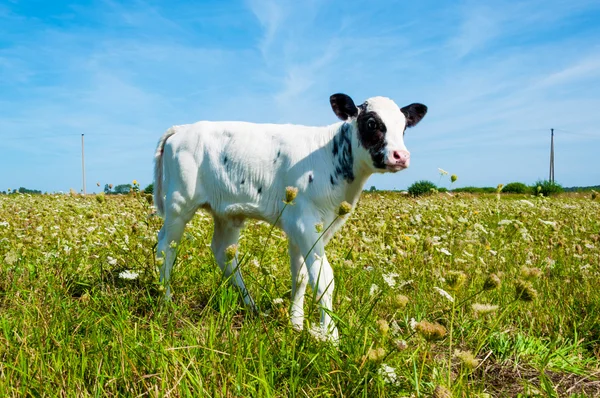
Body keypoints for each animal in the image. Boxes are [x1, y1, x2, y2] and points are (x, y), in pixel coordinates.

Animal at [155, 91, 426, 340]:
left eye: (403, 127)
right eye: (371, 123)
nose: (401, 156)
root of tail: (183, 128)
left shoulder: (310, 228)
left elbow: (302, 275)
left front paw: (296, 323)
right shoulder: (305, 223)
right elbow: (323, 278)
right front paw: (331, 336)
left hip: (227, 212)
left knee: (223, 252)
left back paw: (250, 306)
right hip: (179, 203)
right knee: (166, 248)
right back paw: (166, 299)